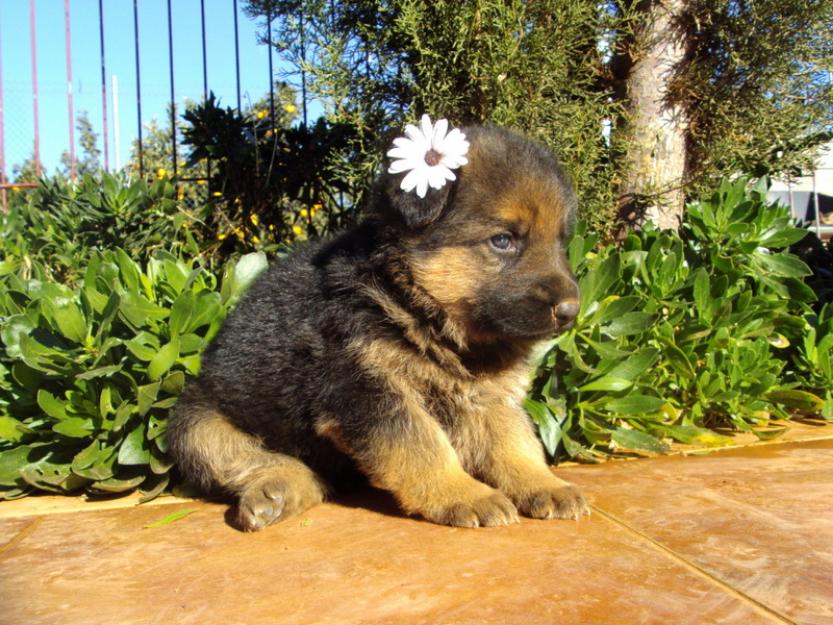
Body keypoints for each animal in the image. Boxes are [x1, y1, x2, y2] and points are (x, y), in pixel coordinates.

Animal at [169, 124, 588, 528]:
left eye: (560, 242)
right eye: (502, 240)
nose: (571, 311)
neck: (412, 300)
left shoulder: (490, 396)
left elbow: (515, 442)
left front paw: (544, 484)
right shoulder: (364, 390)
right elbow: (422, 445)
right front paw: (463, 493)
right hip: (195, 426)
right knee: (259, 459)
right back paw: (274, 490)